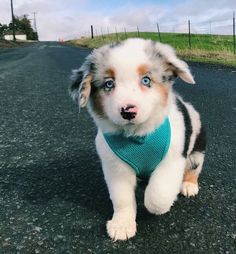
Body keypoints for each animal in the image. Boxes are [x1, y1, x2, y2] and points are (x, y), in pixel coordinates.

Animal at [69, 38, 206, 241]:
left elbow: (158, 194)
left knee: (194, 169)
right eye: (109, 84)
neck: (137, 135)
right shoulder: (115, 166)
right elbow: (122, 197)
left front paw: (157, 206)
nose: (128, 111)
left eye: (146, 80)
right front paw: (122, 225)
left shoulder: (173, 159)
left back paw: (189, 185)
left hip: (197, 150)